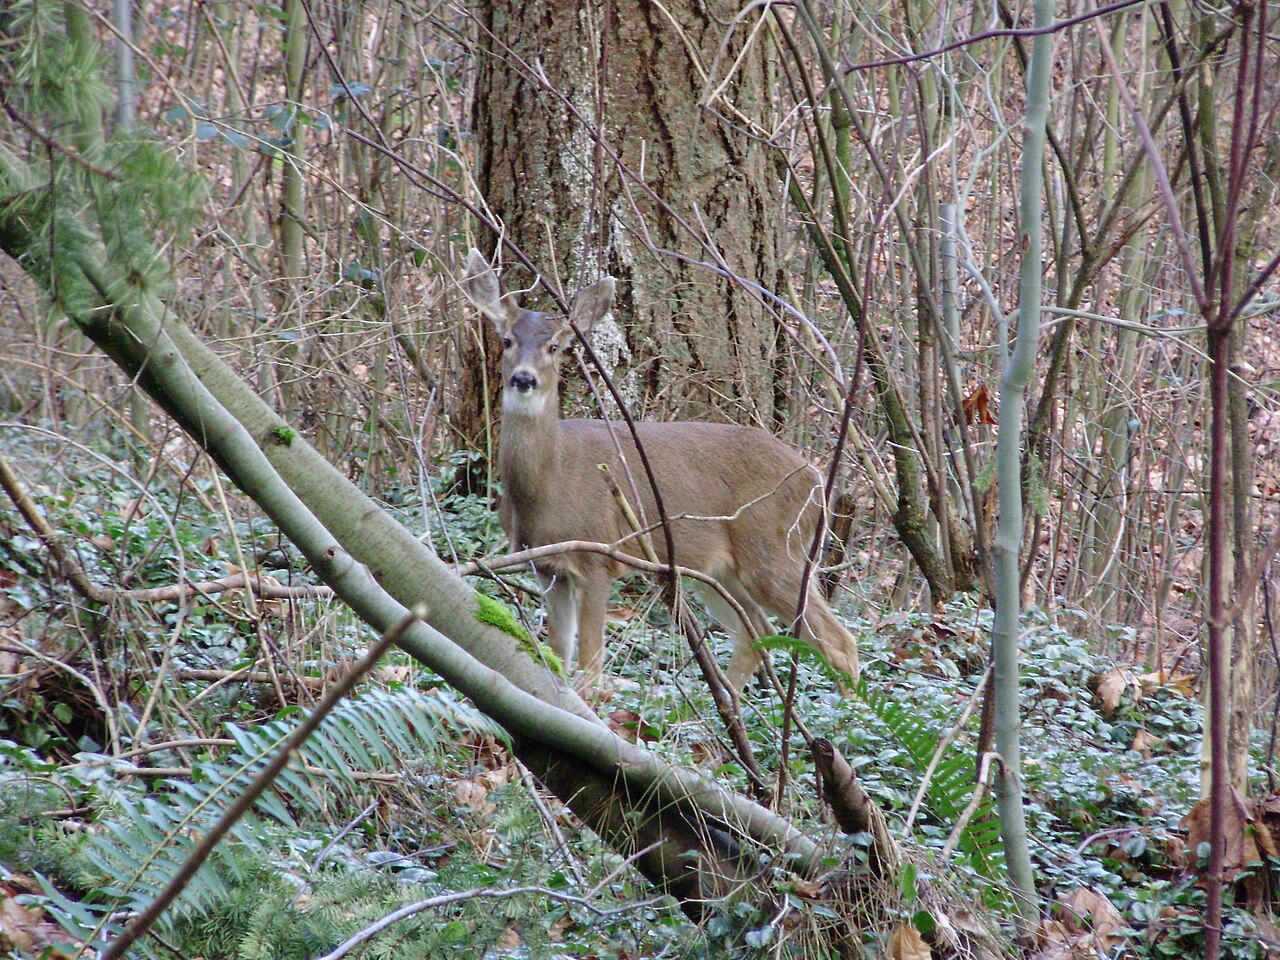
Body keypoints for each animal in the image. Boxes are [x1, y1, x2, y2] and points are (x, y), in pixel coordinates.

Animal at [461, 249, 860, 693]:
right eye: (507, 340)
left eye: (555, 346)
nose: (523, 379)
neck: (548, 485)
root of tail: (817, 481)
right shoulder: (547, 567)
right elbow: (559, 656)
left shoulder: (598, 555)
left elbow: (591, 664)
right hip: (720, 570)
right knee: (755, 634)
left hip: (776, 550)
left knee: (838, 642)